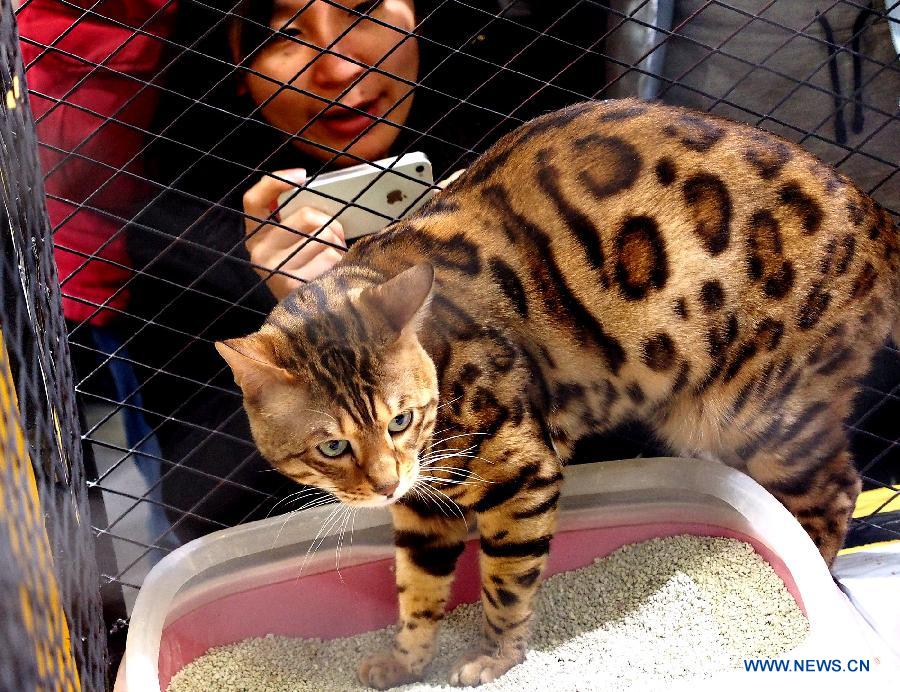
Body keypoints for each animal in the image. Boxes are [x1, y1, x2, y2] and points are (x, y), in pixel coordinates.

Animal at [214, 100, 896, 688]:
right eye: (332, 447)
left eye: (400, 419)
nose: (385, 484)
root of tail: (876, 213)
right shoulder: (424, 509)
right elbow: (418, 588)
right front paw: (407, 662)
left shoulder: (522, 475)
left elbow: (506, 584)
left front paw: (496, 658)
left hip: (752, 413)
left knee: (837, 489)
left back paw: (811, 573)